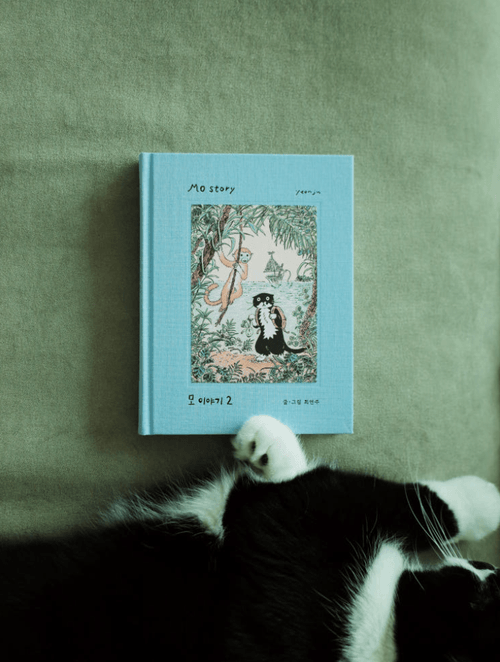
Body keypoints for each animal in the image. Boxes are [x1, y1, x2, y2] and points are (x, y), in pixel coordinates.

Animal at [1, 415, 500, 661]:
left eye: (483, 600)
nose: (490, 567)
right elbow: (420, 505)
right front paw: (491, 500)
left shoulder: (284, 525)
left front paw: (266, 445)